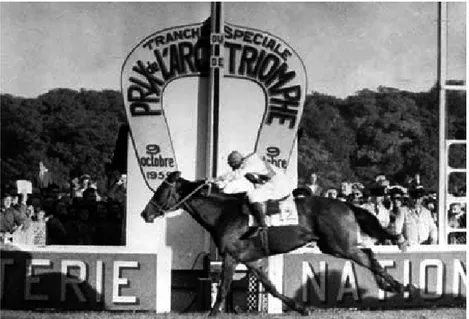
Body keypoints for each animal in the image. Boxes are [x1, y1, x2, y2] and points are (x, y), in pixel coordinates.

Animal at [140, 171, 410, 316]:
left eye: (161, 192)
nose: (145, 214)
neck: (223, 214)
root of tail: (346, 205)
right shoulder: (249, 259)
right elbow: (270, 286)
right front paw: (300, 307)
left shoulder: (231, 256)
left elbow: (225, 287)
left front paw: (213, 313)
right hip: (333, 245)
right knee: (369, 253)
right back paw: (389, 286)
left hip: (339, 245)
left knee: (367, 255)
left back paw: (397, 286)